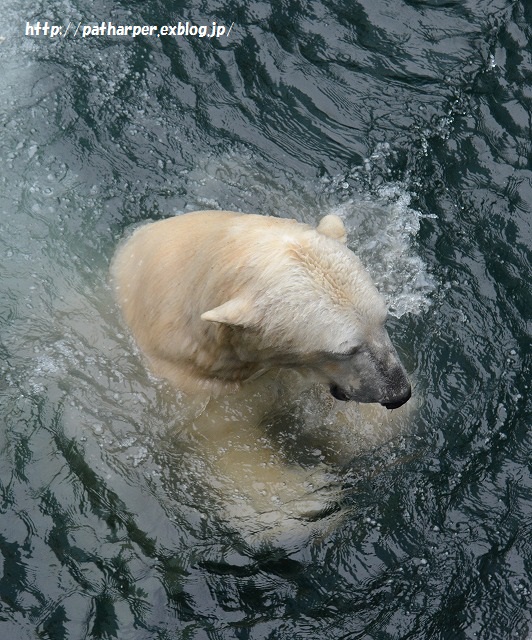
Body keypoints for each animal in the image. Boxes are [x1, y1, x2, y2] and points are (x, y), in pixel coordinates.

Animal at [111, 212, 412, 544]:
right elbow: (235, 454)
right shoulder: (197, 393)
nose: (398, 392)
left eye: (383, 319)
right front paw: (314, 492)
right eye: (346, 349)